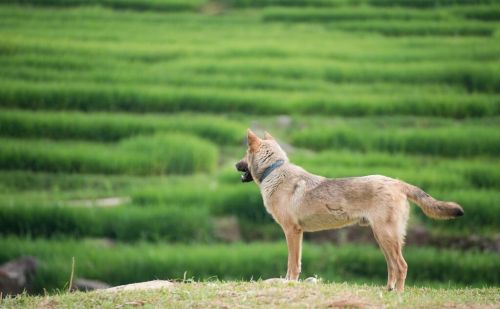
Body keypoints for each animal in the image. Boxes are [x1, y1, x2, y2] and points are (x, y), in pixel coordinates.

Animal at [236, 128, 462, 292]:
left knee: (402, 265)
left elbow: (293, 265)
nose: (235, 165)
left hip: (386, 236)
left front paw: (289, 283)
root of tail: (397, 182)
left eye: (245, 154)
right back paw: (388, 289)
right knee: (392, 265)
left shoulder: (292, 231)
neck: (274, 171)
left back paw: (398, 293)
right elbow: (295, 263)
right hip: (382, 237)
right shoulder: (296, 232)